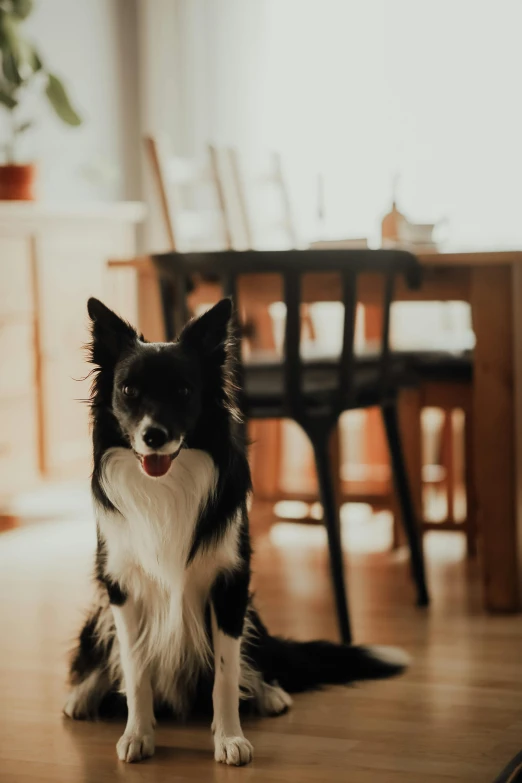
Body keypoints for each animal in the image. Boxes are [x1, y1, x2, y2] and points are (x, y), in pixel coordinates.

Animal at [64, 298, 406, 768]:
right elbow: (135, 671)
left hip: (251, 611)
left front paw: (229, 738)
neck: (165, 486)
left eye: (183, 391)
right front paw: (138, 734)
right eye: (129, 391)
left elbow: (225, 675)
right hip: (99, 613)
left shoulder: (229, 586)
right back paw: (82, 695)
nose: (154, 436)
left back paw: (269, 693)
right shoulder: (121, 588)